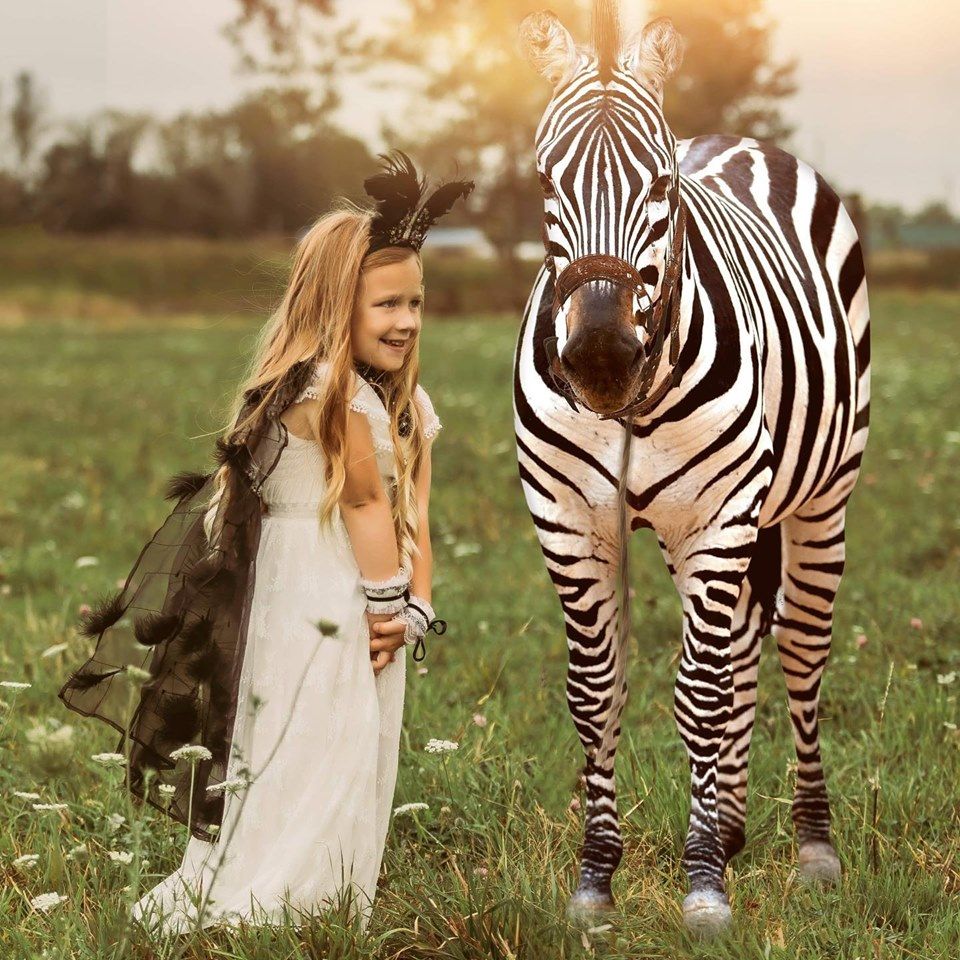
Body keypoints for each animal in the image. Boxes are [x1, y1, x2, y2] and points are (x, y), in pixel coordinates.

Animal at [514, 2, 870, 935]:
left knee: (799, 650)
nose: (601, 358)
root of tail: (736, 139)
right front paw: (597, 879)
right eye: (543, 182)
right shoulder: (569, 523)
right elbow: (598, 692)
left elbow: (698, 695)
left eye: (662, 187)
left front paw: (702, 881)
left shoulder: (718, 518)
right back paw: (736, 826)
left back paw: (812, 845)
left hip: (817, 500)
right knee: (742, 641)